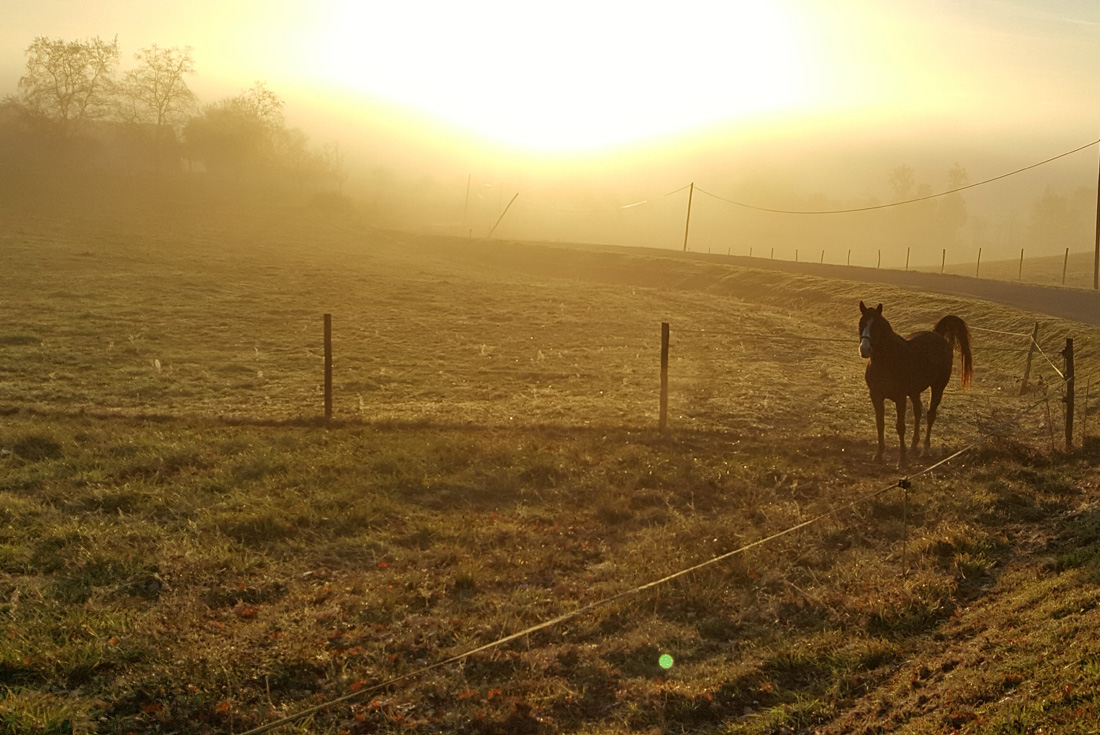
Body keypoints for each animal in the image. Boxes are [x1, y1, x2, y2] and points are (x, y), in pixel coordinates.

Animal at [858, 299, 972, 464]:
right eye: (861, 323)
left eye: (876, 325)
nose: (864, 349)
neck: (888, 360)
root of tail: (938, 335)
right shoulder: (876, 395)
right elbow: (880, 424)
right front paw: (878, 454)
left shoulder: (900, 398)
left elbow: (900, 426)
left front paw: (902, 459)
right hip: (914, 391)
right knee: (918, 411)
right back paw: (913, 446)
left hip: (938, 387)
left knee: (930, 415)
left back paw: (924, 449)